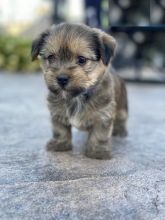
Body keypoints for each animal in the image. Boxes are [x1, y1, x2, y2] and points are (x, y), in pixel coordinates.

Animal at [31, 22, 128, 160]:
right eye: (51, 57)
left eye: (82, 59)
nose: (61, 79)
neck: (77, 97)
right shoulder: (57, 112)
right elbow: (59, 130)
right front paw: (59, 144)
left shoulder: (102, 115)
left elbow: (100, 135)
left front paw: (98, 151)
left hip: (122, 106)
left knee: (122, 118)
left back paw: (120, 130)